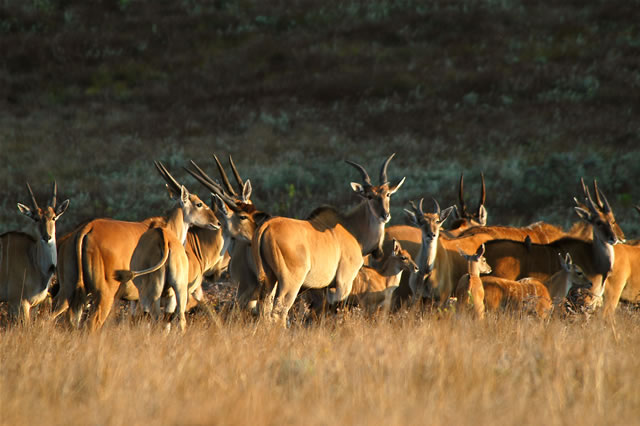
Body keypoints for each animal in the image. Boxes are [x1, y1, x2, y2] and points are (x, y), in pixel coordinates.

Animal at [115, 161, 222, 332]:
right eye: (199, 203)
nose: (217, 223)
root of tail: (165, 241)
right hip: (177, 289)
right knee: (178, 319)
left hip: (154, 293)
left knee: (155, 318)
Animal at [251, 155, 404, 324]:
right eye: (369, 196)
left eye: (387, 194)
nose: (385, 215)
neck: (351, 228)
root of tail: (267, 225)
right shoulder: (343, 282)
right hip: (290, 282)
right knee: (279, 312)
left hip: (269, 279)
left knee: (265, 309)